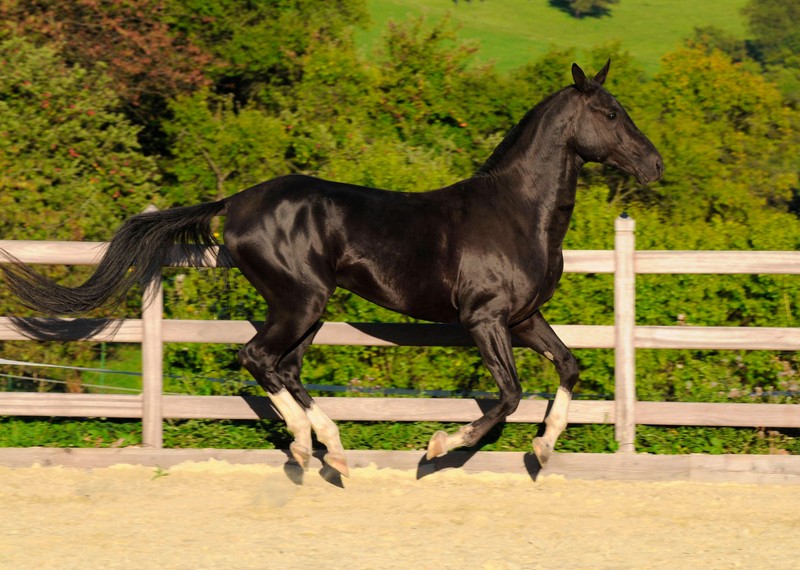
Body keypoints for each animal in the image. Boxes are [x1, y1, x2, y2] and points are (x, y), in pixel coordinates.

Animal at [0, 62, 664, 474]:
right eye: (609, 113)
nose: (655, 164)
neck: (516, 212)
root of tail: (235, 202)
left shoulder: (525, 319)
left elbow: (569, 368)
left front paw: (543, 450)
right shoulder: (484, 320)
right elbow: (506, 396)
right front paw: (438, 446)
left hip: (307, 307)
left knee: (285, 368)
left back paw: (334, 451)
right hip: (302, 301)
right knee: (258, 359)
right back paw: (305, 447)